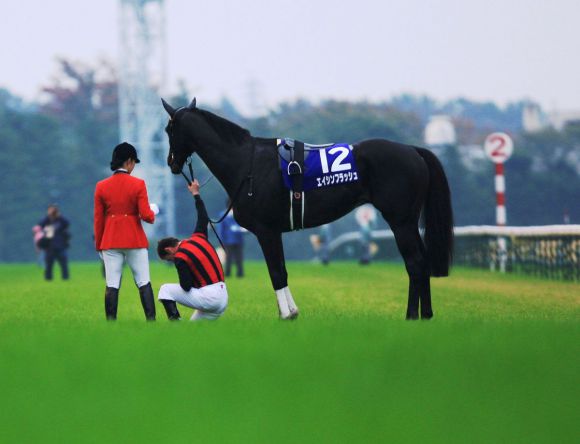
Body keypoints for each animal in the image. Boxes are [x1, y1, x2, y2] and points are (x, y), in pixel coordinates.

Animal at [162, 98, 454, 320]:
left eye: (168, 129)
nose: (171, 162)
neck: (247, 164)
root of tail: (413, 151)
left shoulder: (266, 231)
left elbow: (276, 272)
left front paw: (286, 314)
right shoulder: (275, 232)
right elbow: (282, 270)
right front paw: (292, 311)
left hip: (401, 221)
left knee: (415, 263)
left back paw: (412, 316)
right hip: (409, 222)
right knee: (422, 262)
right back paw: (426, 315)